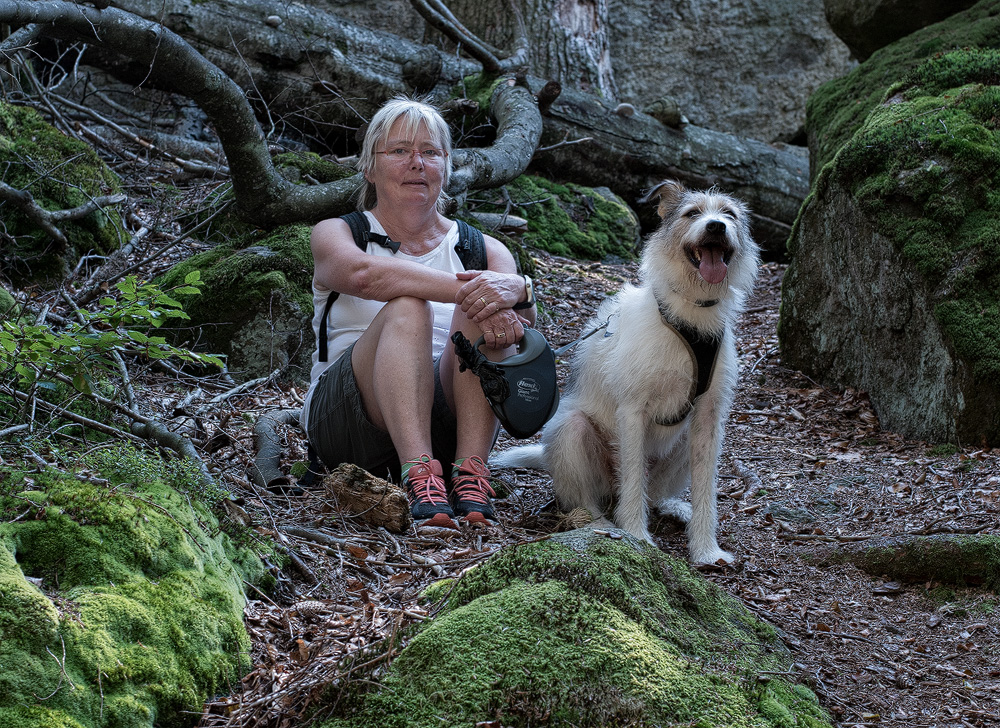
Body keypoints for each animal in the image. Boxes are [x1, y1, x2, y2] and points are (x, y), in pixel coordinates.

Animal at [492, 179, 756, 564]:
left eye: (729, 214)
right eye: (692, 213)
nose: (716, 227)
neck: (690, 316)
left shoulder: (708, 417)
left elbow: (706, 487)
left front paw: (706, 550)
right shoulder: (632, 412)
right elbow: (632, 479)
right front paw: (637, 536)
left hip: (685, 438)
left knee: (655, 494)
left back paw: (674, 506)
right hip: (571, 430)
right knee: (590, 499)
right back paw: (600, 524)